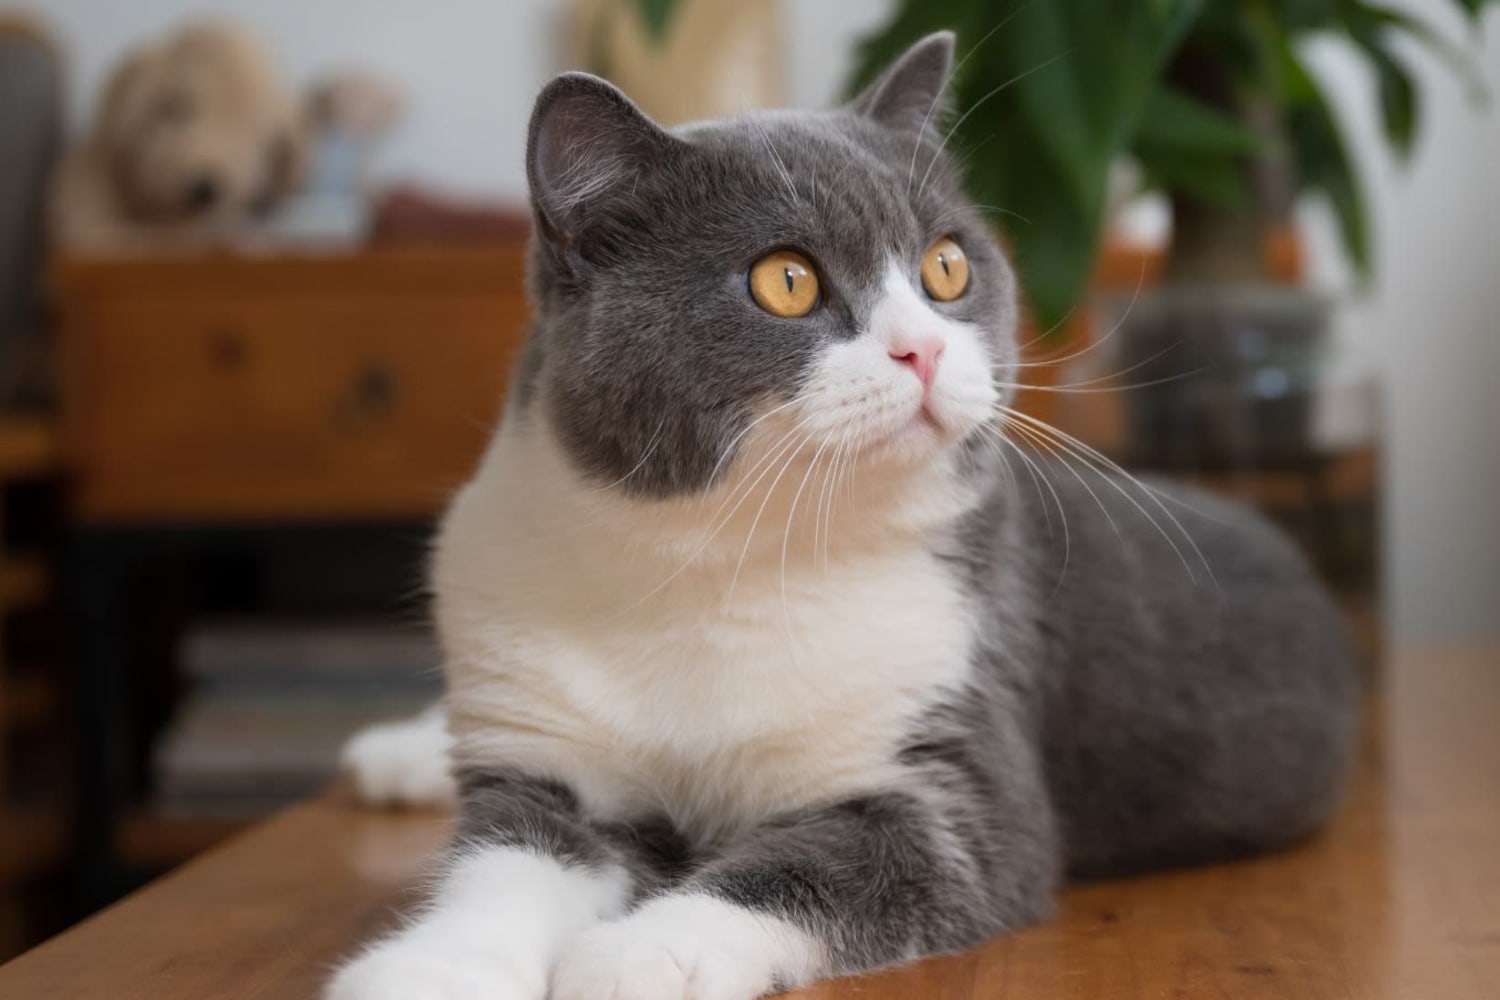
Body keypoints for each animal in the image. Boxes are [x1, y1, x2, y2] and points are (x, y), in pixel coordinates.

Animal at [328, 31, 1362, 1000]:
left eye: (947, 266)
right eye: (786, 281)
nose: (923, 352)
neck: (715, 564)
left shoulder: (955, 772)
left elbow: (812, 869)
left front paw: (638, 953)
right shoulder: (544, 751)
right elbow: (505, 861)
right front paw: (424, 969)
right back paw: (401, 751)